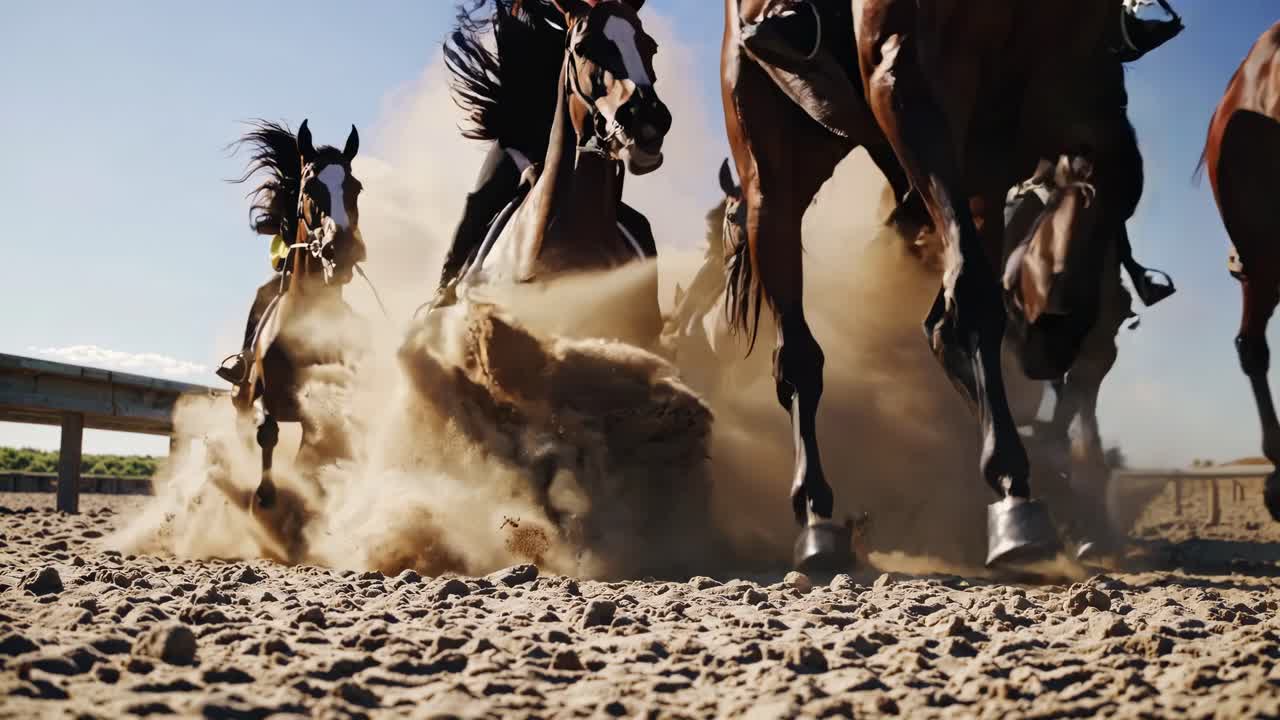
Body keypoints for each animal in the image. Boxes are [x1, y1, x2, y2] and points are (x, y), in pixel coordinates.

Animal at [228, 120, 368, 524]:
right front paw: (263, 498)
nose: (344, 249)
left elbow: (316, 451)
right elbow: (267, 431)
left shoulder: (319, 410)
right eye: (310, 188)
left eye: (355, 187)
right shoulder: (264, 395)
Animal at [722, 0, 1166, 570]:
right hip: (772, 169)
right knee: (797, 351)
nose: (1052, 336)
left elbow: (1113, 177)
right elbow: (975, 295)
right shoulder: (903, 76)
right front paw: (1014, 495)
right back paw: (817, 517)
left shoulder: (1069, 102)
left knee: (942, 321)